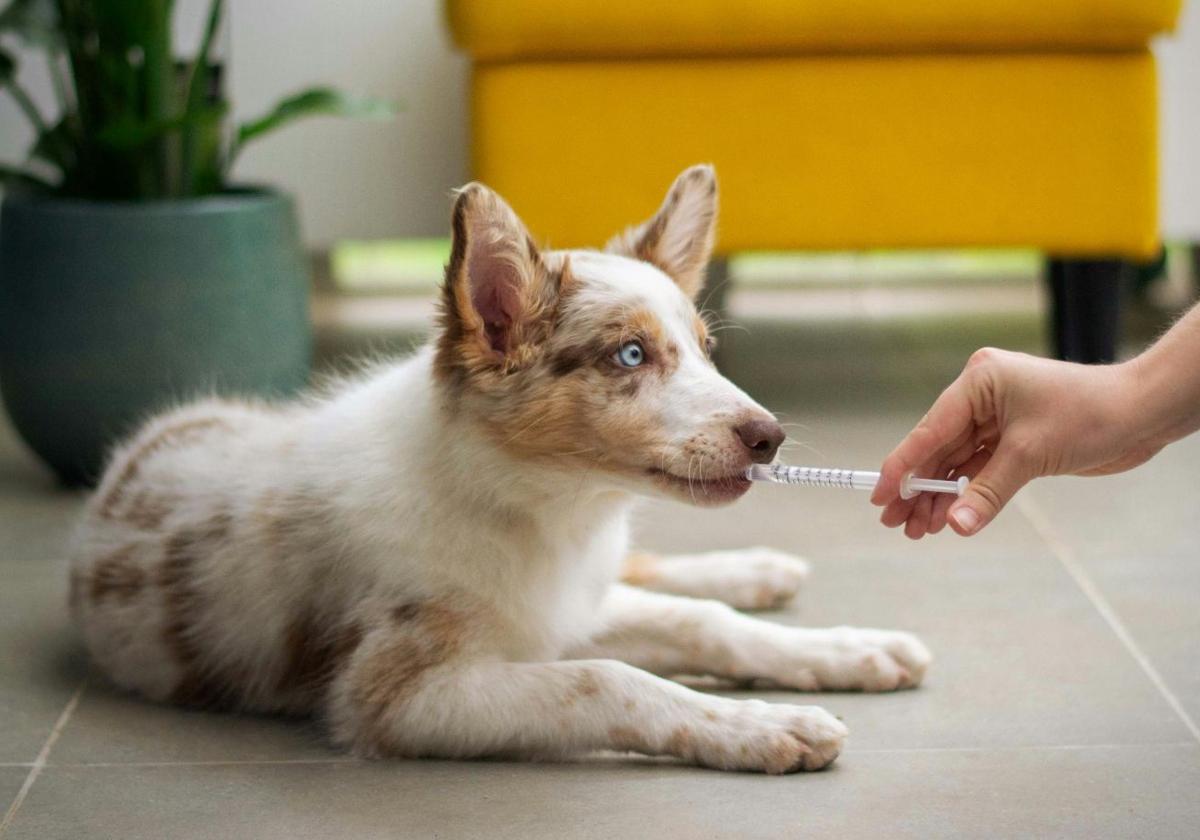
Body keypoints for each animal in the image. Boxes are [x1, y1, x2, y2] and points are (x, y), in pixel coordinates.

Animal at [70, 165, 931, 772]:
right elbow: (611, 678)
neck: (538, 508)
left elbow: (701, 623)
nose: (770, 438)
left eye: (705, 350)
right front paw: (764, 726)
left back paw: (759, 572)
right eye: (630, 355)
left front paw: (842, 652)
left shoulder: (564, 605)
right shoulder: (399, 695)